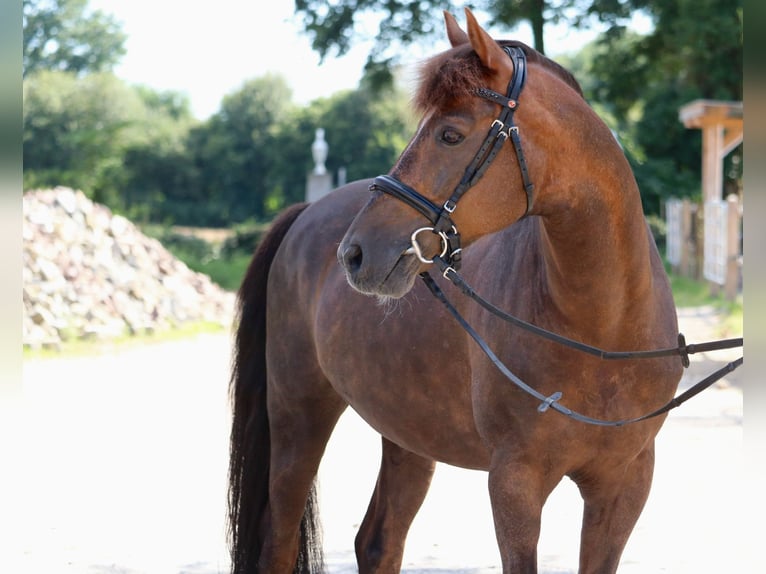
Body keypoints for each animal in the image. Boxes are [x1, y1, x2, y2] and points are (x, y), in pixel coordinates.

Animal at [228, 9, 684, 574]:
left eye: (450, 134)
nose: (354, 253)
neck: (602, 329)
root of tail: (306, 212)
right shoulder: (515, 483)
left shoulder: (624, 485)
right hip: (298, 417)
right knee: (279, 538)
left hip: (406, 431)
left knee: (378, 541)